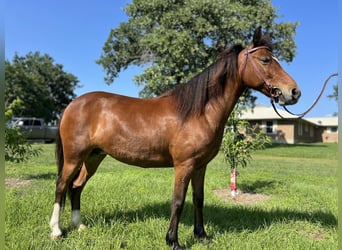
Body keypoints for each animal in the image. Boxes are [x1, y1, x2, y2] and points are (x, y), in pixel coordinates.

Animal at [49, 26, 300, 249]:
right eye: (265, 60)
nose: (294, 92)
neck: (198, 112)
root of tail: (73, 104)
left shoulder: (200, 166)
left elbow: (198, 199)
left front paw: (202, 235)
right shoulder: (184, 165)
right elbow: (178, 201)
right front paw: (174, 241)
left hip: (93, 157)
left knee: (77, 186)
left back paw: (79, 226)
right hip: (74, 157)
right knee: (61, 185)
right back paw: (56, 231)